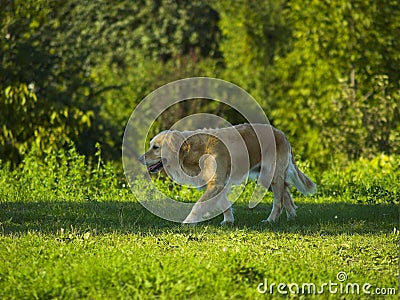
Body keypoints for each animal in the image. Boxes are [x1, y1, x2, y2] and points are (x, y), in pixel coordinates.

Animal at [139, 123, 318, 224]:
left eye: (155, 147)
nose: (140, 158)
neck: (196, 152)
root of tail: (281, 133)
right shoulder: (218, 184)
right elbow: (224, 203)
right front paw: (228, 221)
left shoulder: (216, 183)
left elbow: (198, 206)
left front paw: (188, 222)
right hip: (269, 178)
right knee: (286, 194)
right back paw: (291, 217)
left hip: (269, 175)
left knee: (279, 201)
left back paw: (270, 220)